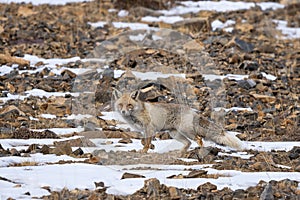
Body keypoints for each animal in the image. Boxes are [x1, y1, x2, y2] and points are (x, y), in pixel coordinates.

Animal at [113, 90, 243, 154]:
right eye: (121, 105)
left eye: (129, 105)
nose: (123, 111)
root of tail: (192, 111)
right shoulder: (144, 130)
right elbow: (143, 141)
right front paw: (148, 147)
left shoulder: (149, 128)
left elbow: (146, 142)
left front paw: (145, 150)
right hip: (174, 134)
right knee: (188, 143)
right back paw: (181, 152)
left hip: (186, 131)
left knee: (199, 139)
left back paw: (200, 151)